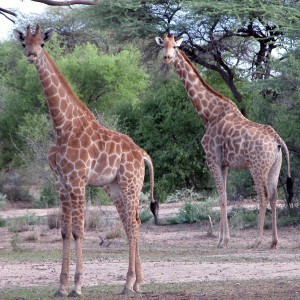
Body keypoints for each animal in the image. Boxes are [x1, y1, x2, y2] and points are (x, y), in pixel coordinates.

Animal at [13, 24, 159, 296]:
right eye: (24, 43)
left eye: (42, 44)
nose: (31, 56)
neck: (62, 126)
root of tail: (142, 153)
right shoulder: (61, 183)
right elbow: (64, 231)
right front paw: (60, 286)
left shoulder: (78, 180)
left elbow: (78, 231)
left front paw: (77, 286)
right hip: (114, 187)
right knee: (130, 222)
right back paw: (137, 283)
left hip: (130, 183)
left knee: (134, 223)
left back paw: (128, 283)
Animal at [155, 33, 292, 248]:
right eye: (164, 46)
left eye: (175, 47)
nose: (167, 58)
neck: (208, 114)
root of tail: (277, 140)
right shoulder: (225, 163)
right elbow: (224, 196)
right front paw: (221, 239)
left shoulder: (212, 159)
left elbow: (221, 198)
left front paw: (224, 241)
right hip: (274, 168)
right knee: (274, 196)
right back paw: (274, 242)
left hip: (257, 167)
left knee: (263, 196)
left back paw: (257, 240)